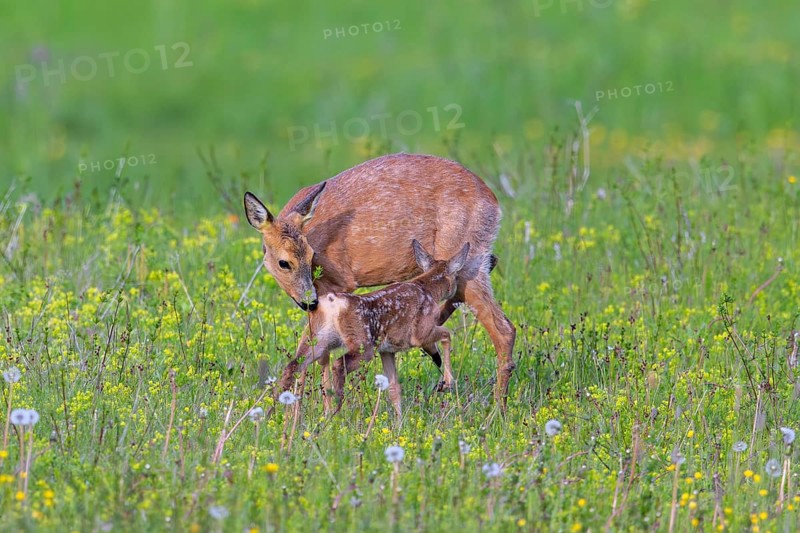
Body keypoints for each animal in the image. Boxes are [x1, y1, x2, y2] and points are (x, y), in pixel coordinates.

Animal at [276, 240, 471, 417]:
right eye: (457, 277)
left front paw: (398, 424)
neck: (428, 290)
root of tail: (332, 302)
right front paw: (447, 382)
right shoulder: (420, 334)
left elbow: (394, 389)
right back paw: (335, 416)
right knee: (338, 364)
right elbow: (447, 334)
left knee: (293, 366)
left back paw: (279, 413)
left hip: (316, 338)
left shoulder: (387, 350)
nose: (457, 292)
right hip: (363, 343)